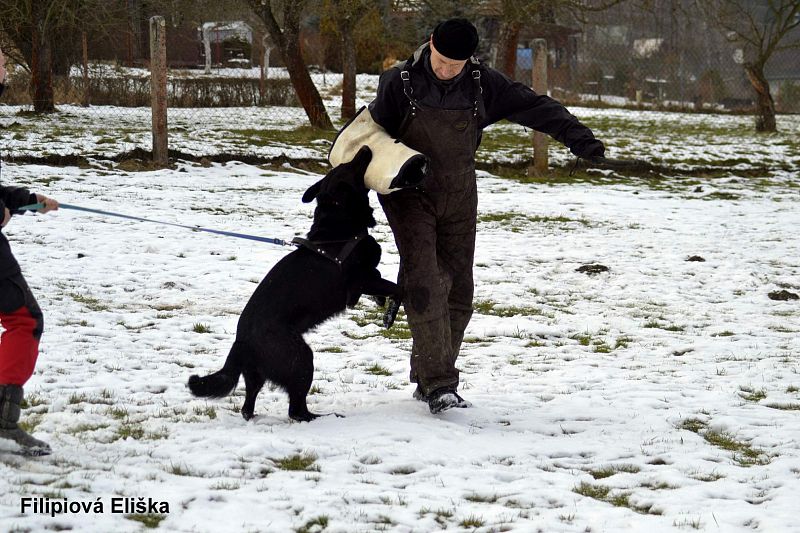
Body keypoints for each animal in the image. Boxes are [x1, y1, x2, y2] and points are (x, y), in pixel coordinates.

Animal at [188, 145, 400, 420]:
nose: (365, 148)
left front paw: (381, 301)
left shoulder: (367, 279)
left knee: (248, 405)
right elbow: (397, 286)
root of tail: (241, 341)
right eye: (351, 166)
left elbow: (381, 280)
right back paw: (320, 418)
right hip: (301, 358)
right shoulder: (359, 280)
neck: (337, 229)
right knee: (296, 410)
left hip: (258, 375)